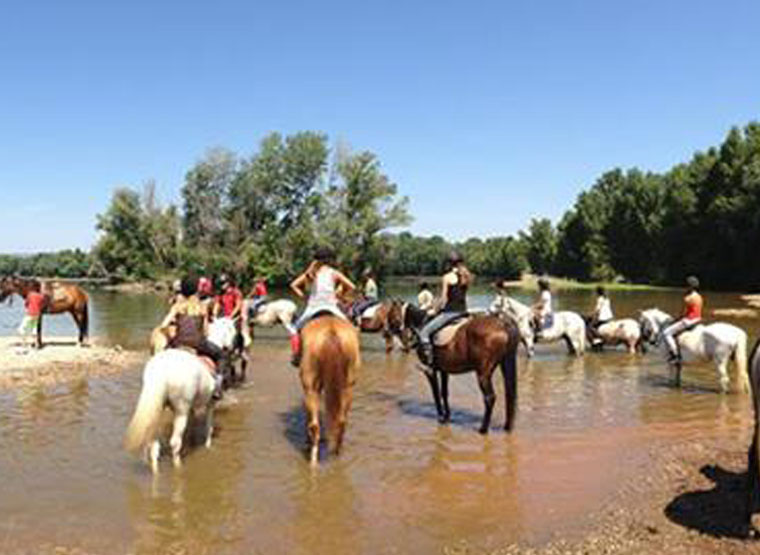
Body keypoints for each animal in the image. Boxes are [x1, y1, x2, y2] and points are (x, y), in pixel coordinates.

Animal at [298, 314, 360, 466]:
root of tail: (331, 332)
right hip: (348, 386)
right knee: (341, 422)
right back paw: (337, 453)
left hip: (310, 386)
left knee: (314, 426)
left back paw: (313, 459)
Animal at [386, 302, 524, 436]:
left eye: (390, 313)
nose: (387, 331)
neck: (421, 323)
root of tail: (502, 324)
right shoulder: (444, 370)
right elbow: (444, 392)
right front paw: (447, 416)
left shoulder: (431, 371)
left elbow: (436, 393)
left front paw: (441, 417)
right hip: (503, 365)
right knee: (508, 394)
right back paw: (507, 427)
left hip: (483, 374)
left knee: (489, 398)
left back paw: (483, 429)